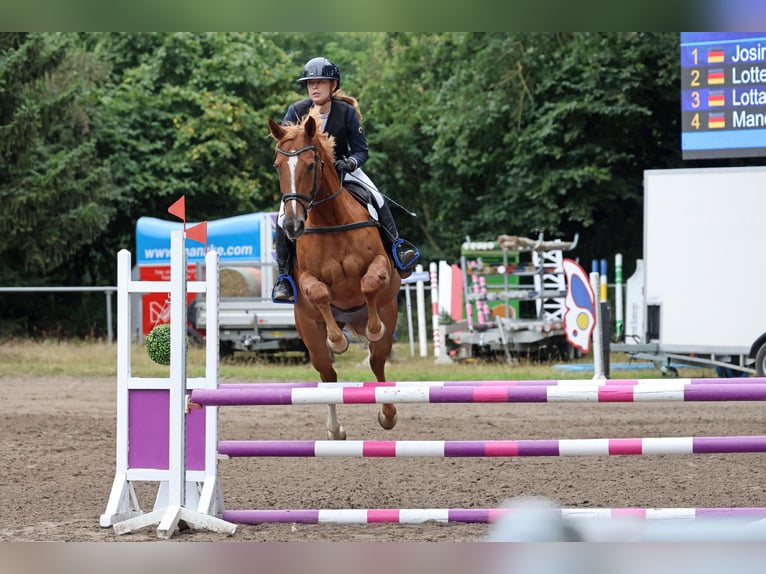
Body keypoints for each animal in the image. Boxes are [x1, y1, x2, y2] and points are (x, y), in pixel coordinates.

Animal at [270, 113, 402, 446]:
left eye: (310, 166)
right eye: (278, 166)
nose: (292, 225)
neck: (330, 220)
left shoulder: (380, 265)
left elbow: (369, 283)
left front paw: (372, 328)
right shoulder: (306, 280)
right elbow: (319, 293)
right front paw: (338, 341)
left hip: (390, 313)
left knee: (377, 363)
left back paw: (388, 414)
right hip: (308, 331)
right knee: (327, 375)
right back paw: (335, 429)